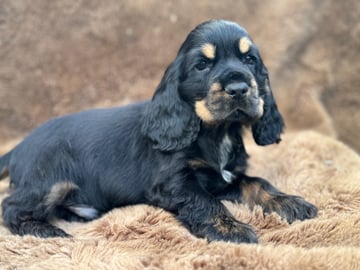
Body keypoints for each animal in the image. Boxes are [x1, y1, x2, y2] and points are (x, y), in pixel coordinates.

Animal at [0, 19, 316, 243]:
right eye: (202, 65)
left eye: (250, 60)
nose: (239, 88)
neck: (216, 133)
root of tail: (19, 147)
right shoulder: (173, 182)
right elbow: (206, 202)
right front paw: (230, 229)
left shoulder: (224, 177)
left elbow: (257, 183)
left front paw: (291, 203)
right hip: (50, 180)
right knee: (10, 206)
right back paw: (44, 230)